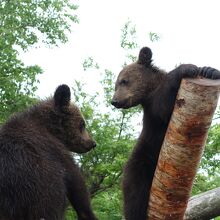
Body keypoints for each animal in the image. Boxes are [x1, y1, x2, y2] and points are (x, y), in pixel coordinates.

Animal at [111, 46, 220, 220]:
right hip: (140, 161)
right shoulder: (153, 111)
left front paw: (209, 70)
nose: (114, 101)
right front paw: (187, 67)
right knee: (134, 198)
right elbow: (161, 106)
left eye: (123, 81)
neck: (151, 87)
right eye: (117, 83)